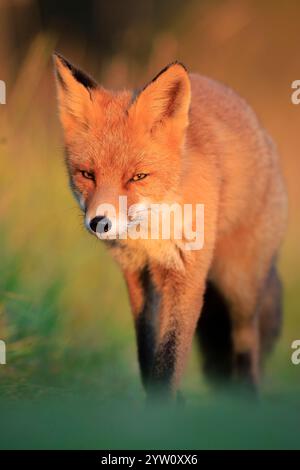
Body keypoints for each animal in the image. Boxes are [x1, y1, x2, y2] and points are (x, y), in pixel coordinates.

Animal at [52, 54, 288, 400]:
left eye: (138, 177)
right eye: (87, 174)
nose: (100, 223)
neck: (151, 234)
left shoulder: (187, 277)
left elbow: (170, 357)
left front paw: (163, 410)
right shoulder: (138, 276)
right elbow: (148, 357)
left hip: (239, 287)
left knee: (248, 347)